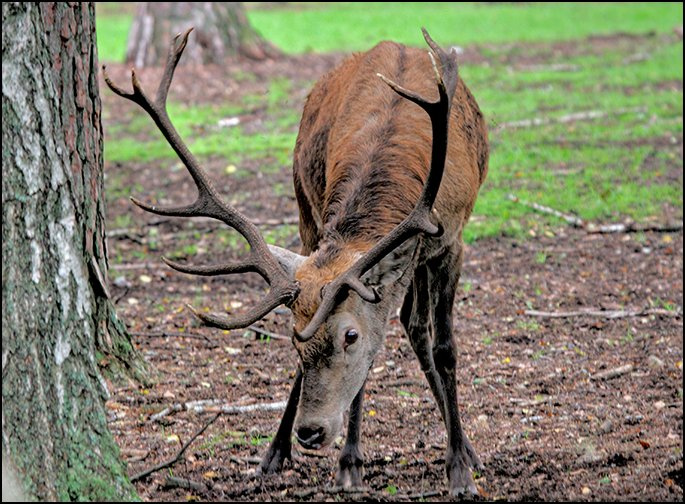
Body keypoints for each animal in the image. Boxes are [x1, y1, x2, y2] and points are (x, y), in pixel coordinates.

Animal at [103, 27, 489, 496]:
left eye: (350, 336)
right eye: (293, 339)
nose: (310, 432)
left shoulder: (451, 240)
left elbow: (445, 348)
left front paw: (459, 469)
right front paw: (348, 462)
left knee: (417, 326)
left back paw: (465, 446)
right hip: (305, 208)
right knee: (409, 321)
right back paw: (276, 451)